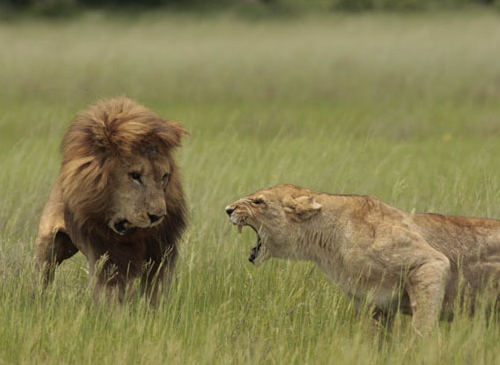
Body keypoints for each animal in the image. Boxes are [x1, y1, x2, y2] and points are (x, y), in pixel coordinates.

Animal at [34, 95, 188, 302]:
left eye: (164, 176)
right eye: (134, 176)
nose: (157, 216)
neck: (133, 234)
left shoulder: (160, 254)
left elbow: (154, 293)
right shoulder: (106, 256)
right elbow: (110, 294)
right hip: (48, 245)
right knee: (42, 276)